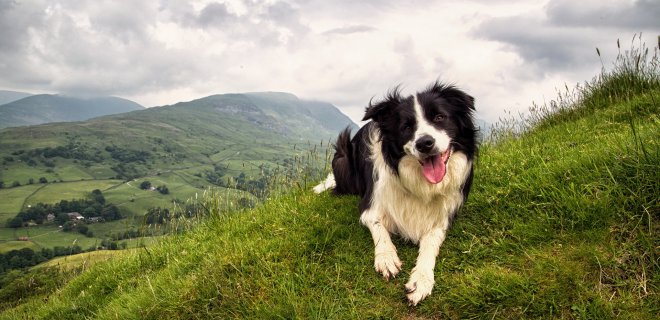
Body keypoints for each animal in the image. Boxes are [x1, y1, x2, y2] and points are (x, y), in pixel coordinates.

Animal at [316, 82, 480, 304]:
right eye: (406, 127)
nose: (424, 143)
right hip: (342, 156)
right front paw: (386, 258)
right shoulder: (370, 206)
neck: (420, 183)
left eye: (439, 117)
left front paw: (422, 279)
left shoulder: (444, 216)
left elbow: (431, 243)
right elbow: (379, 229)